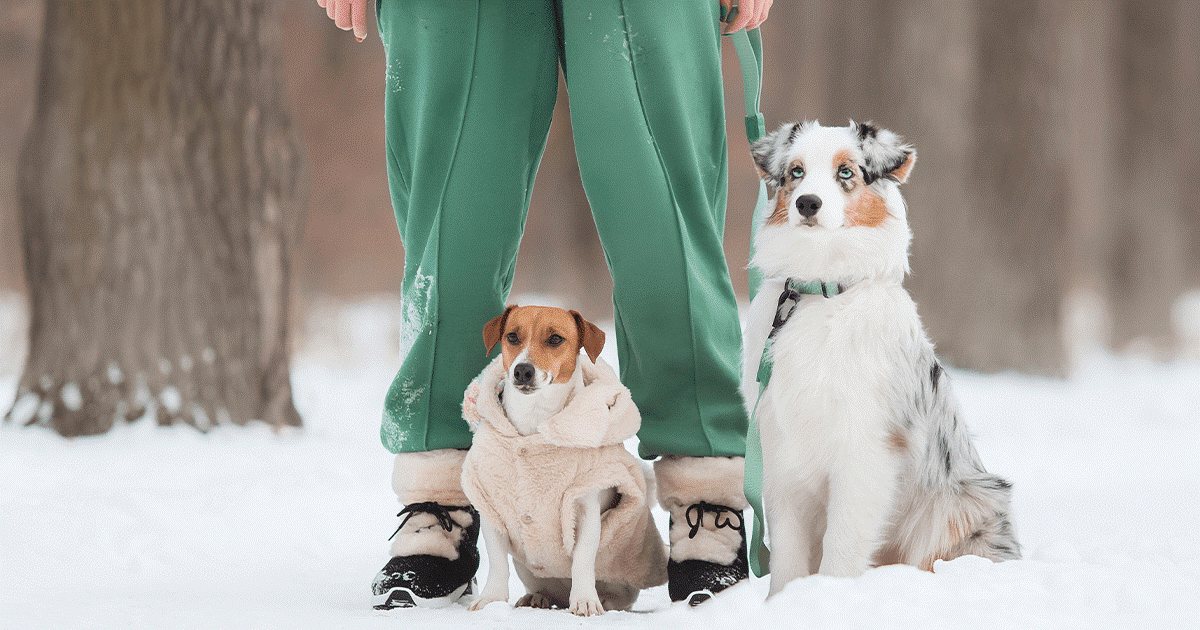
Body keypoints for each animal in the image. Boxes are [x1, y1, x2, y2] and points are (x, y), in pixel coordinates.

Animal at [458, 304, 667, 614]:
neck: (534, 420)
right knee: (544, 589)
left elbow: (582, 559)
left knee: (618, 593)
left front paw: (585, 601)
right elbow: (497, 562)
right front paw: (491, 599)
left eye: (555, 339)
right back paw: (536, 598)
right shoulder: (491, 507)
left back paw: (605, 600)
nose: (522, 370)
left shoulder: (586, 505)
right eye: (512, 336)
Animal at [744, 119, 1017, 595]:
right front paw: (784, 600)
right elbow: (787, 551)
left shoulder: (866, 447)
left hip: (961, 505)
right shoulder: (780, 450)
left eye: (846, 172)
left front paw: (828, 595)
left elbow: (842, 542)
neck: (822, 290)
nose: (807, 203)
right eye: (796, 171)